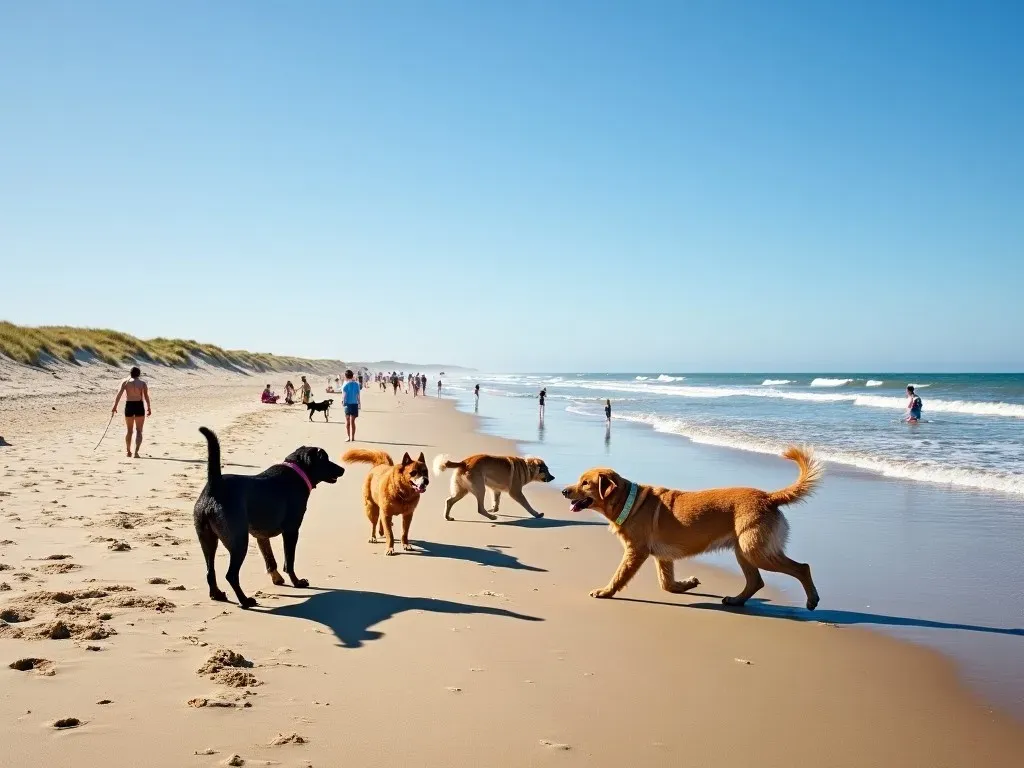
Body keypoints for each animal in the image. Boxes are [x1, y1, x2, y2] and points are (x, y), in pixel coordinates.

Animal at [193, 428, 346, 606]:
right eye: (325, 459)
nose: (342, 469)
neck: (297, 471)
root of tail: (214, 486)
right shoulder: (291, 530)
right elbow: (289, 560)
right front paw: (297, 582)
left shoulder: (261, 536)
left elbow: (270, 559)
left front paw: (277, 578)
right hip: (239, 541)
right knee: (231, 575)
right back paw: (245, 601)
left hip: (207, 539)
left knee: (210, 571)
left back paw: (217, 594)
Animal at [561, 448, 823, 610]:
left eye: (585, 483)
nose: (564, 491)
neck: (629, 502)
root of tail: (769, 497)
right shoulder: (663, 557)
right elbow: (666, 583)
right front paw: (686, 584)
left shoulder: (635, 552)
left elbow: (619, 576)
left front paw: (606, 592)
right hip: (743, 550)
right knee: (755, 582)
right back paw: (737, 600)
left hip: (755, 550)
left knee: (802, 567)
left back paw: (812, 599)